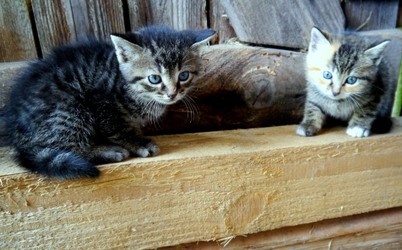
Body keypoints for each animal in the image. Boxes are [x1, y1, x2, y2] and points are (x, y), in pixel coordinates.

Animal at [3, 25, 217, 179]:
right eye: (155, 79)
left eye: (184, 76)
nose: (172, 94)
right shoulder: (101, 101)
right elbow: (117, 127)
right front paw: (138, 143)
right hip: (70, 110)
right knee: (67, 147)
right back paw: (108, 151)